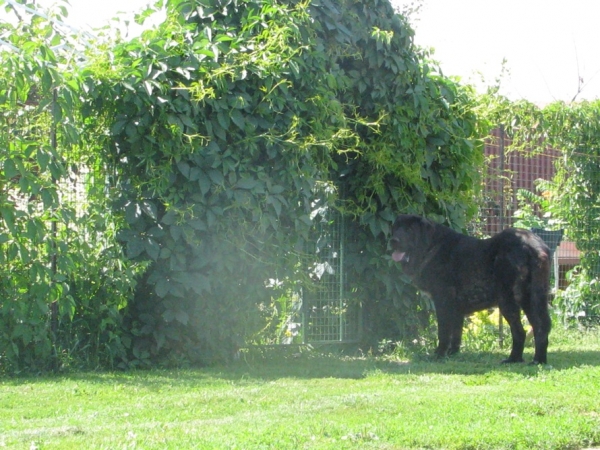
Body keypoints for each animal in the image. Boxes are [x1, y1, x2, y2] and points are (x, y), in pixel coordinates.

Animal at [390, 213, 552, 364]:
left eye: (409, 230)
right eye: (396, 228)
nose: (393, 240)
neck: (430, 247)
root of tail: (534, 246)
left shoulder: (443, 301)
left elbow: (443, 332)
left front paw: (440, 354)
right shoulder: (456, 309)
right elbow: (456, 334)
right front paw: (452, 354)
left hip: (508, 301)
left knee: (520, 331)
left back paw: (513, 359)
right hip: (532, 299)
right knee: (541, 327)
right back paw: (538, 361)